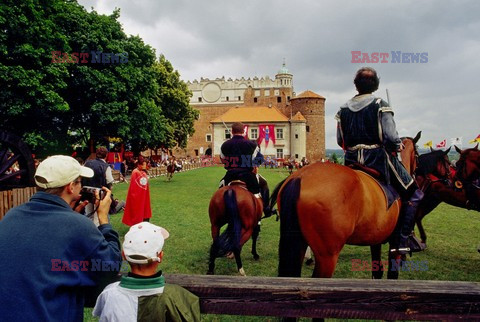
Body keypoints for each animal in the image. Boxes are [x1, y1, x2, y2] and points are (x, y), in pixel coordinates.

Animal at [274, 133, 420, 280]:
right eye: (417, 155)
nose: (416, 174)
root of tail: (300, 177)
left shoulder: (375, 240)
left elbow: (377, 271)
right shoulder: (395, 246)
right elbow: (392, 273)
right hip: (327, 257)